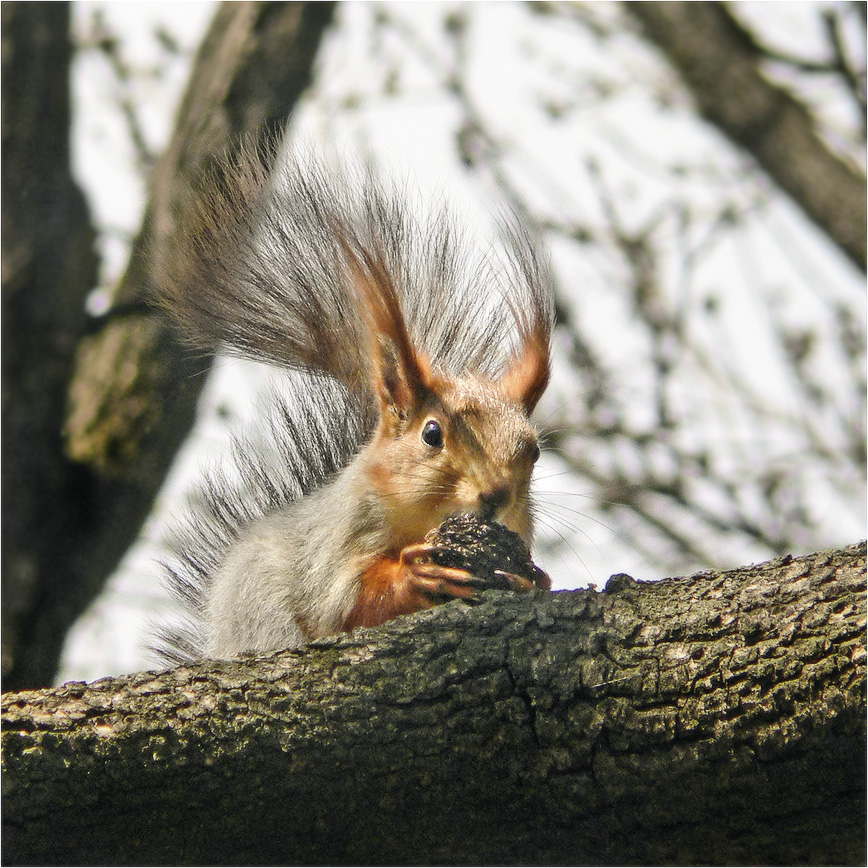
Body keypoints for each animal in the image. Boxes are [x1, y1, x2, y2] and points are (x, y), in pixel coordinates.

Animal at [153, 142, 552, 660]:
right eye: (432, 433)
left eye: (534, 451)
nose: (497, 495)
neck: (419, 522)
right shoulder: (331, 550)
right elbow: (347, 604)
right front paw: (415, 574)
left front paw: (532, 580)